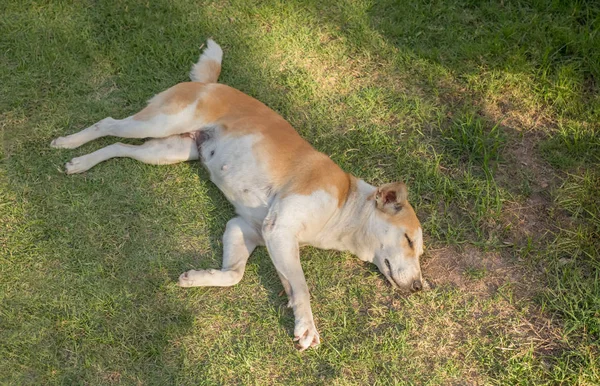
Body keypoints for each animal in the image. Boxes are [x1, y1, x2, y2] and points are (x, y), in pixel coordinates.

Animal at [52, 39, 426, 350]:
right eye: (409, 240)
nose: (421, 288)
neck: (346, 206)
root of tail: (212, 83)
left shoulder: (245, 229)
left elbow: (234, 275)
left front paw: (195, 278)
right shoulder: (280, 230)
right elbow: (302, 287)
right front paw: (307, 327)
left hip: (168, 151)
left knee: (119, 147)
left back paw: (81, 163)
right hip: (157, 124)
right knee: (107, 123)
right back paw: (68, 144)